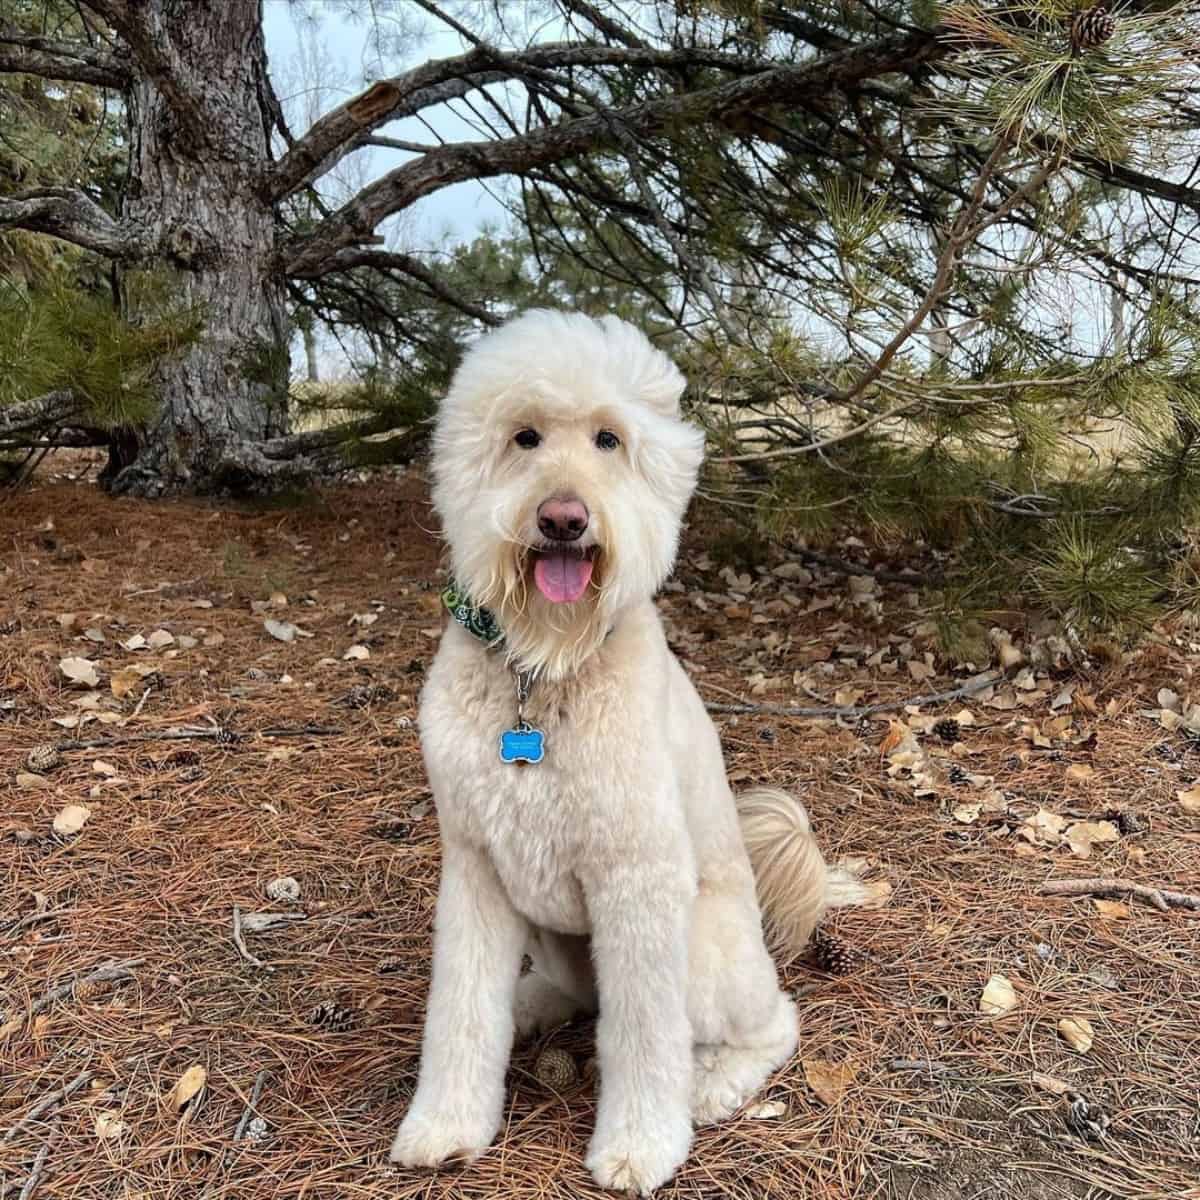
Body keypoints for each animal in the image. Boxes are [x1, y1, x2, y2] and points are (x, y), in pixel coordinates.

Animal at [388, 309, 868, 1190]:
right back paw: (531, 1005)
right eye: (525, 437)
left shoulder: (635, 880)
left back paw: (711, 1084)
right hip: (554, 932)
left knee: (771, 1023)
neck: (543, 667)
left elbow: (642, 1034)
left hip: (706, 954)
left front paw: (641, 1145)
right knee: (575, 995)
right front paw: (445, 1124)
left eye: (609, 439)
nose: (564, 519)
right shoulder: (476, 868)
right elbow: (461, 1010)